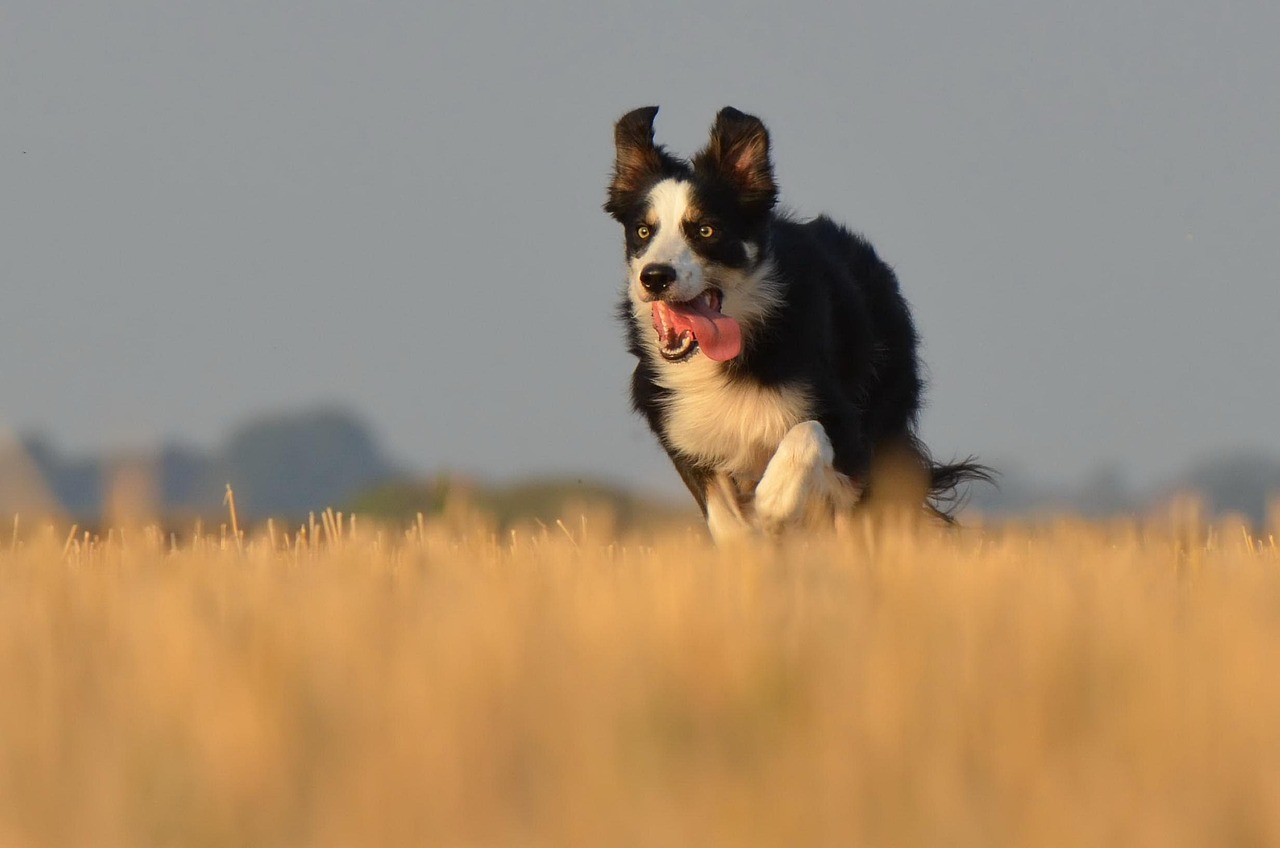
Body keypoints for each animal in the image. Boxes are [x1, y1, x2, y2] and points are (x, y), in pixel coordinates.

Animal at [604, 108, 983, 545]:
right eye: (643, 231)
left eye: (706, 230)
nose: (654, 277)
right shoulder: (684, 431)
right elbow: (726, 521)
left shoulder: (849, 435)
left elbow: (807, 433)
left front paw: (773, 500)